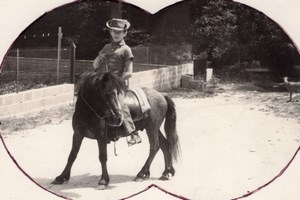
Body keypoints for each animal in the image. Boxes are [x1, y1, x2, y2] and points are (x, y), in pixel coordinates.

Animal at [52, 70, 180, 189]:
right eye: (106, 94)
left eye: (116, 93)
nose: (118, 118)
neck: (87, 113)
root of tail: (162, 95)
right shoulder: (77, 134)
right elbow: (72, 155)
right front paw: (62, 177)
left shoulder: (101, 137)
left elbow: (102, 157)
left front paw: (103, 180)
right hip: (154, 128)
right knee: (165, 144)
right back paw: (167, 172)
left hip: (152, 128)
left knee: (154, 147)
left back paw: (142, 173)